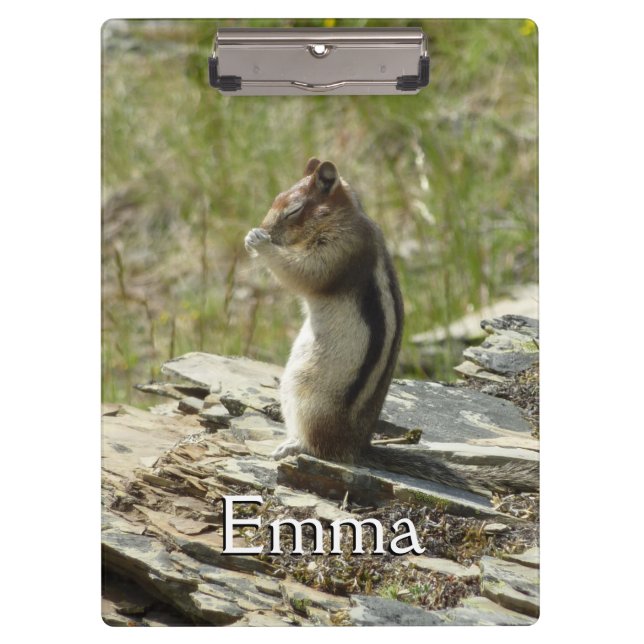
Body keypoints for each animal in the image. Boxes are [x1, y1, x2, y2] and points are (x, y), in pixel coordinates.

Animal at [245, 158, 537, 495]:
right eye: (276, 198)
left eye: (293, 210)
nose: (265, 228)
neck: (342, 218)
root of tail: (356, 447)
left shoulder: (340, 249)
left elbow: (303, 273)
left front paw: (260, 242)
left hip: (305, 395)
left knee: (319, 447)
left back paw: (292, 446)